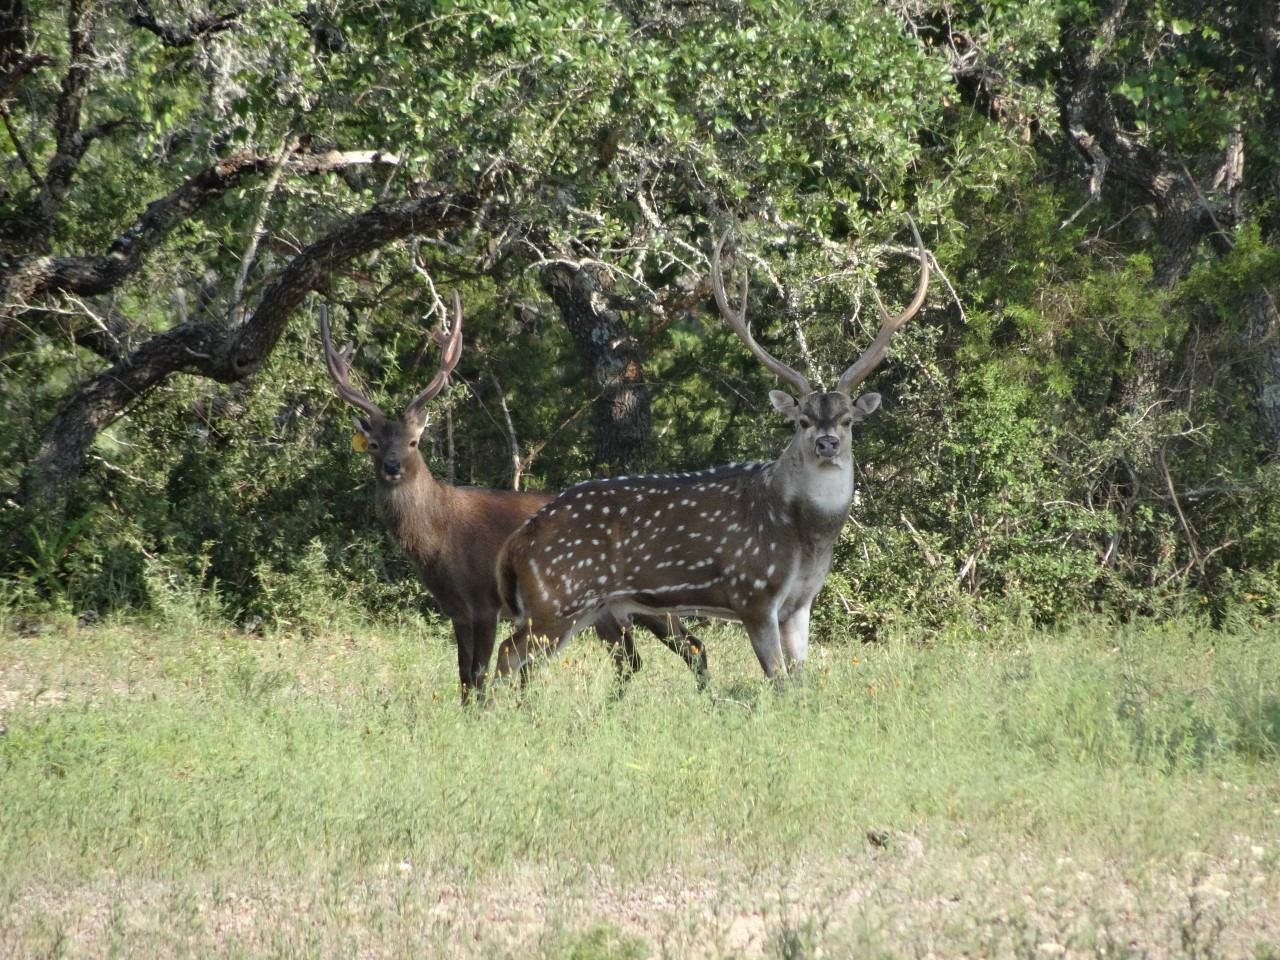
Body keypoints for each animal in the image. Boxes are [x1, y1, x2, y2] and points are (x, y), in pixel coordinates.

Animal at [319, 295, 709, 703]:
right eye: (374, 445)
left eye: (412, 442)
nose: (392, 466)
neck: (438, 539)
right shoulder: (456, 610)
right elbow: (463, 675)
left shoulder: (484, 602)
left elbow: (478, 674)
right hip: (601, 609)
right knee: (633, 658)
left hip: (648, 597)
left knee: (691, 647)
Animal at [494, 220, 929, 685]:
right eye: (801, 420)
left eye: (848, 420)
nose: (826, 443)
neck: (806, 537)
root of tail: (516, 544)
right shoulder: (753, 592)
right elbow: (778, 680)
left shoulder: (800, 603)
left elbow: (800, 682)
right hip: (557, 599)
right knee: (504, 655)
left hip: (585, 610)